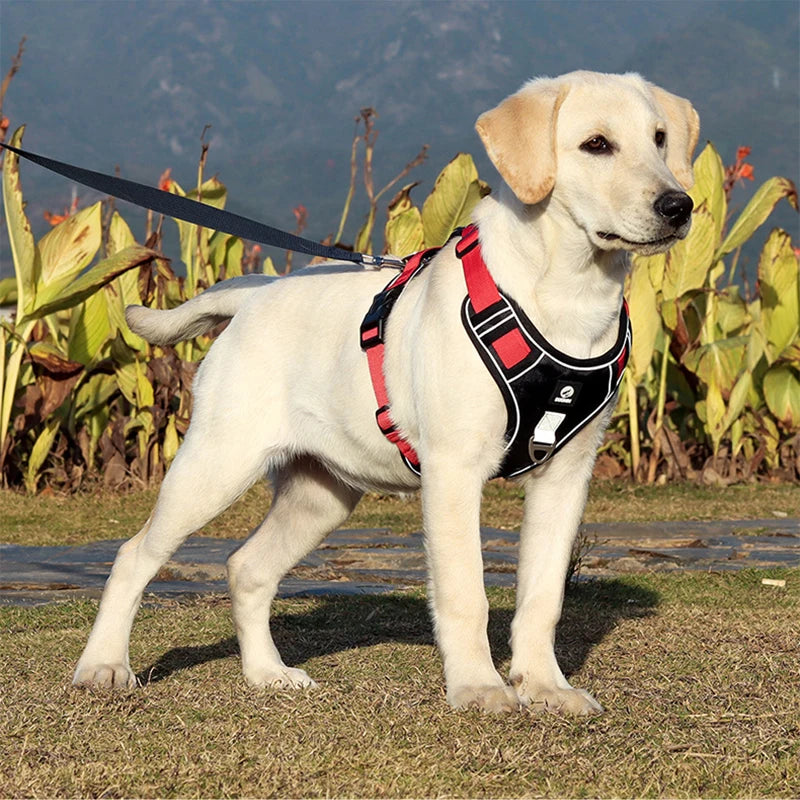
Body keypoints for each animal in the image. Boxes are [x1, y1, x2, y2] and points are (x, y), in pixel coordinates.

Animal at [75, 72, 700, 716]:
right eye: (596, 144)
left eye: (659, 138)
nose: (679, 206)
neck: (567, 292)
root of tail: (256, 293)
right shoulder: (454, 470)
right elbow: (465, 591)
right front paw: (478, 686)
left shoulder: (567, 475)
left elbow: (543, 596)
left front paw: (545, 687)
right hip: (215, 465)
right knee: (134, 555)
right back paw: (103, 666)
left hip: (320, 493)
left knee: (247, 567)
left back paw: (267, 673)